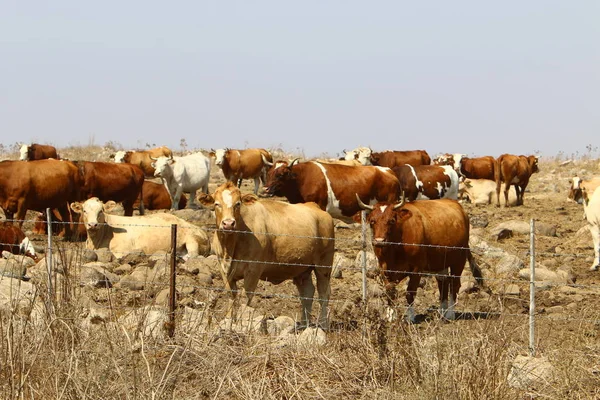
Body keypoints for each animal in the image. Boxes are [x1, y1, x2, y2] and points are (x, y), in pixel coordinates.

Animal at [69, 198, 211, 260]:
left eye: (101, 211)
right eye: (84, 211)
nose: (93, 224)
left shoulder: (122, 251)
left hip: (192, 241)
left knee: (193, 256)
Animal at [356, 195, 482, 324]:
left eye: (391, 220)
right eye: (372, 221)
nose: (379, 241)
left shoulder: (416, 268)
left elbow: (410, 292)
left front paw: (410, 317)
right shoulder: (384, 268)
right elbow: (390, 291)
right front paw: (390, 316)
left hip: (459, 260)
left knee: (454, 284)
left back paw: (450, 314)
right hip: (440, 262)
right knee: (443, 283)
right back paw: (442, 312)